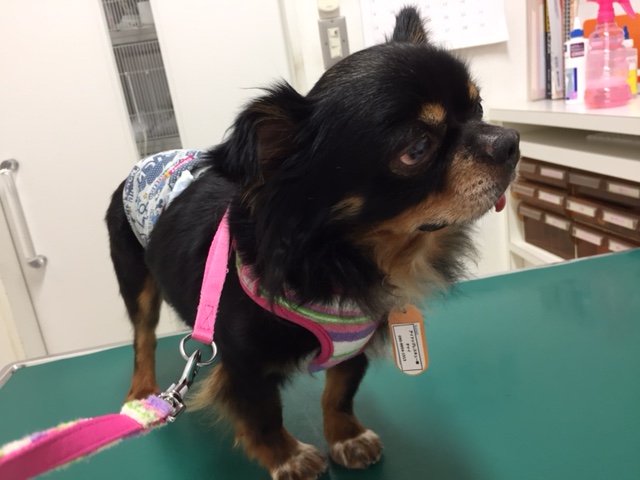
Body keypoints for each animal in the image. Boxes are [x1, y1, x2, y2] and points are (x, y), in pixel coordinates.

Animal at [105, 7, 519, 479]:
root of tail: (145, 162)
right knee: (142, 337)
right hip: (135, 279)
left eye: (479, 107)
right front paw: (288, 456)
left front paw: (346, 437)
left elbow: (338, 394)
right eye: (417, 147)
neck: (344, 255)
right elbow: (264, 417)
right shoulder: (242, 363)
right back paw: (142, 391)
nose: (510, 141)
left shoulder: (352, 346)